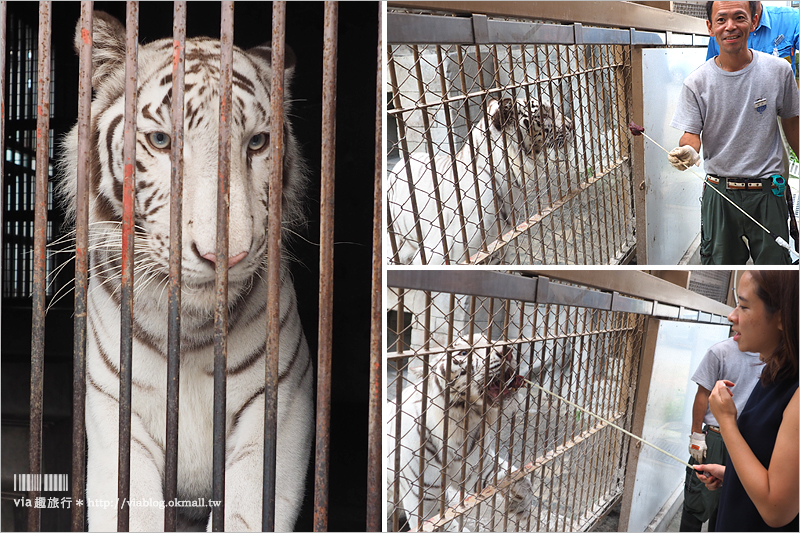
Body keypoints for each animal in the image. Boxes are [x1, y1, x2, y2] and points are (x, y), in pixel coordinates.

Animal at [56, 12, 310, 532]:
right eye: (161, 141)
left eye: (257, 143)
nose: (224, 255)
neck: (191, 338)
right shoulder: (116, 413)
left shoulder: (281, 408)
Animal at [386, 338, 536, 528]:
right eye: (464, 353)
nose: (508, 351)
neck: (460, 426)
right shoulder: (424, 500)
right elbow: (441, 523)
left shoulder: (477, 468)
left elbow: (516, 476)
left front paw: (522, 504)